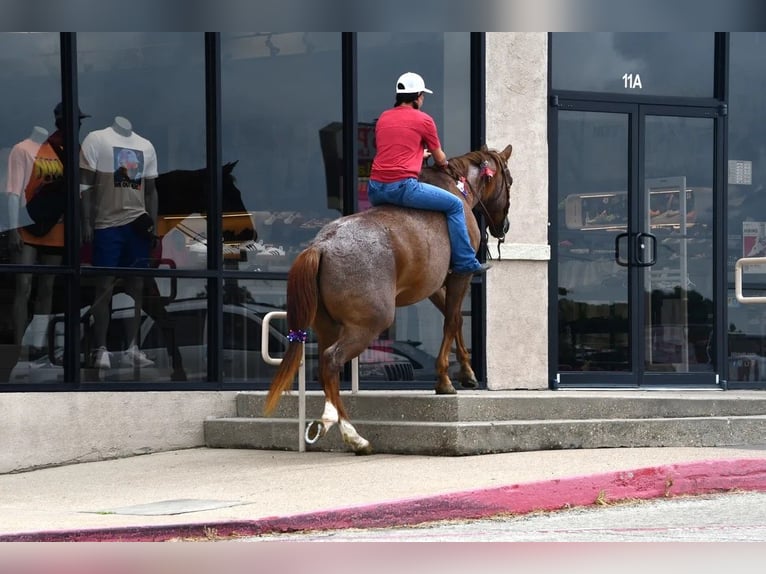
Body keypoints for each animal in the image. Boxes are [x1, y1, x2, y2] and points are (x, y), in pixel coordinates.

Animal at [263, 144, 513, 455]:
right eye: (510, 181)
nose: (504, 226)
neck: (457, 188)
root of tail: (321, 246)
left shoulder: (433, 286)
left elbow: (453, 320)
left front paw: (466, 371)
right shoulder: (460, 276)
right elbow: (452, 321)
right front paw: (445, 379)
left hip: (326, 325)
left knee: (324, 365)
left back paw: (333, 420)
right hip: (369, 324)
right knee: (332, 360)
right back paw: (352, 434)